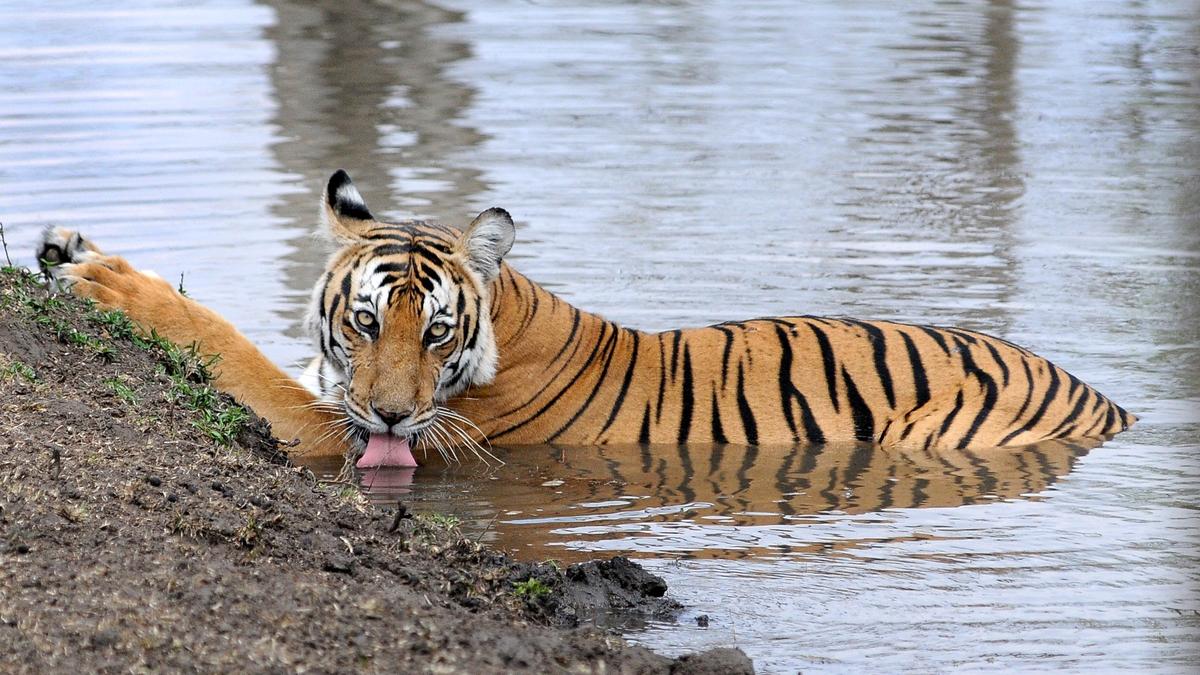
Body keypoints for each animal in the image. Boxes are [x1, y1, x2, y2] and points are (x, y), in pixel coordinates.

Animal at [37, 170, 1135, 468]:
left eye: (436, 332)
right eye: (364, 322)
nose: (392, 419)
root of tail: (1113, 405)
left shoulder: (328, 429)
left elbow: (226, 343)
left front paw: (106, 279)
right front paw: (67, 243)